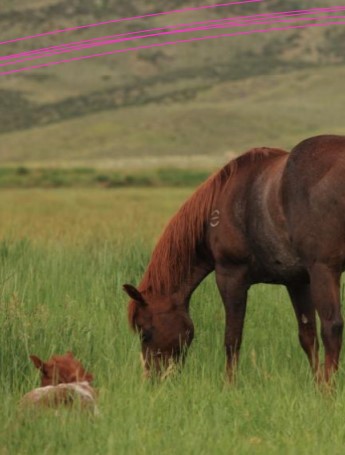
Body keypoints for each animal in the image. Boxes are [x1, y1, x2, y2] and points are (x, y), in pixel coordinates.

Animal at [125, 134, 344, 382]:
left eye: (145, 333)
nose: (152, 379)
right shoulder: (297, 281)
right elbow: (307, 336)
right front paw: (315, 383)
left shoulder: (230, 276)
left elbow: (232, 339)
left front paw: (229, 384)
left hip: (324, 271)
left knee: (332, 328)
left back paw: (329, 387)